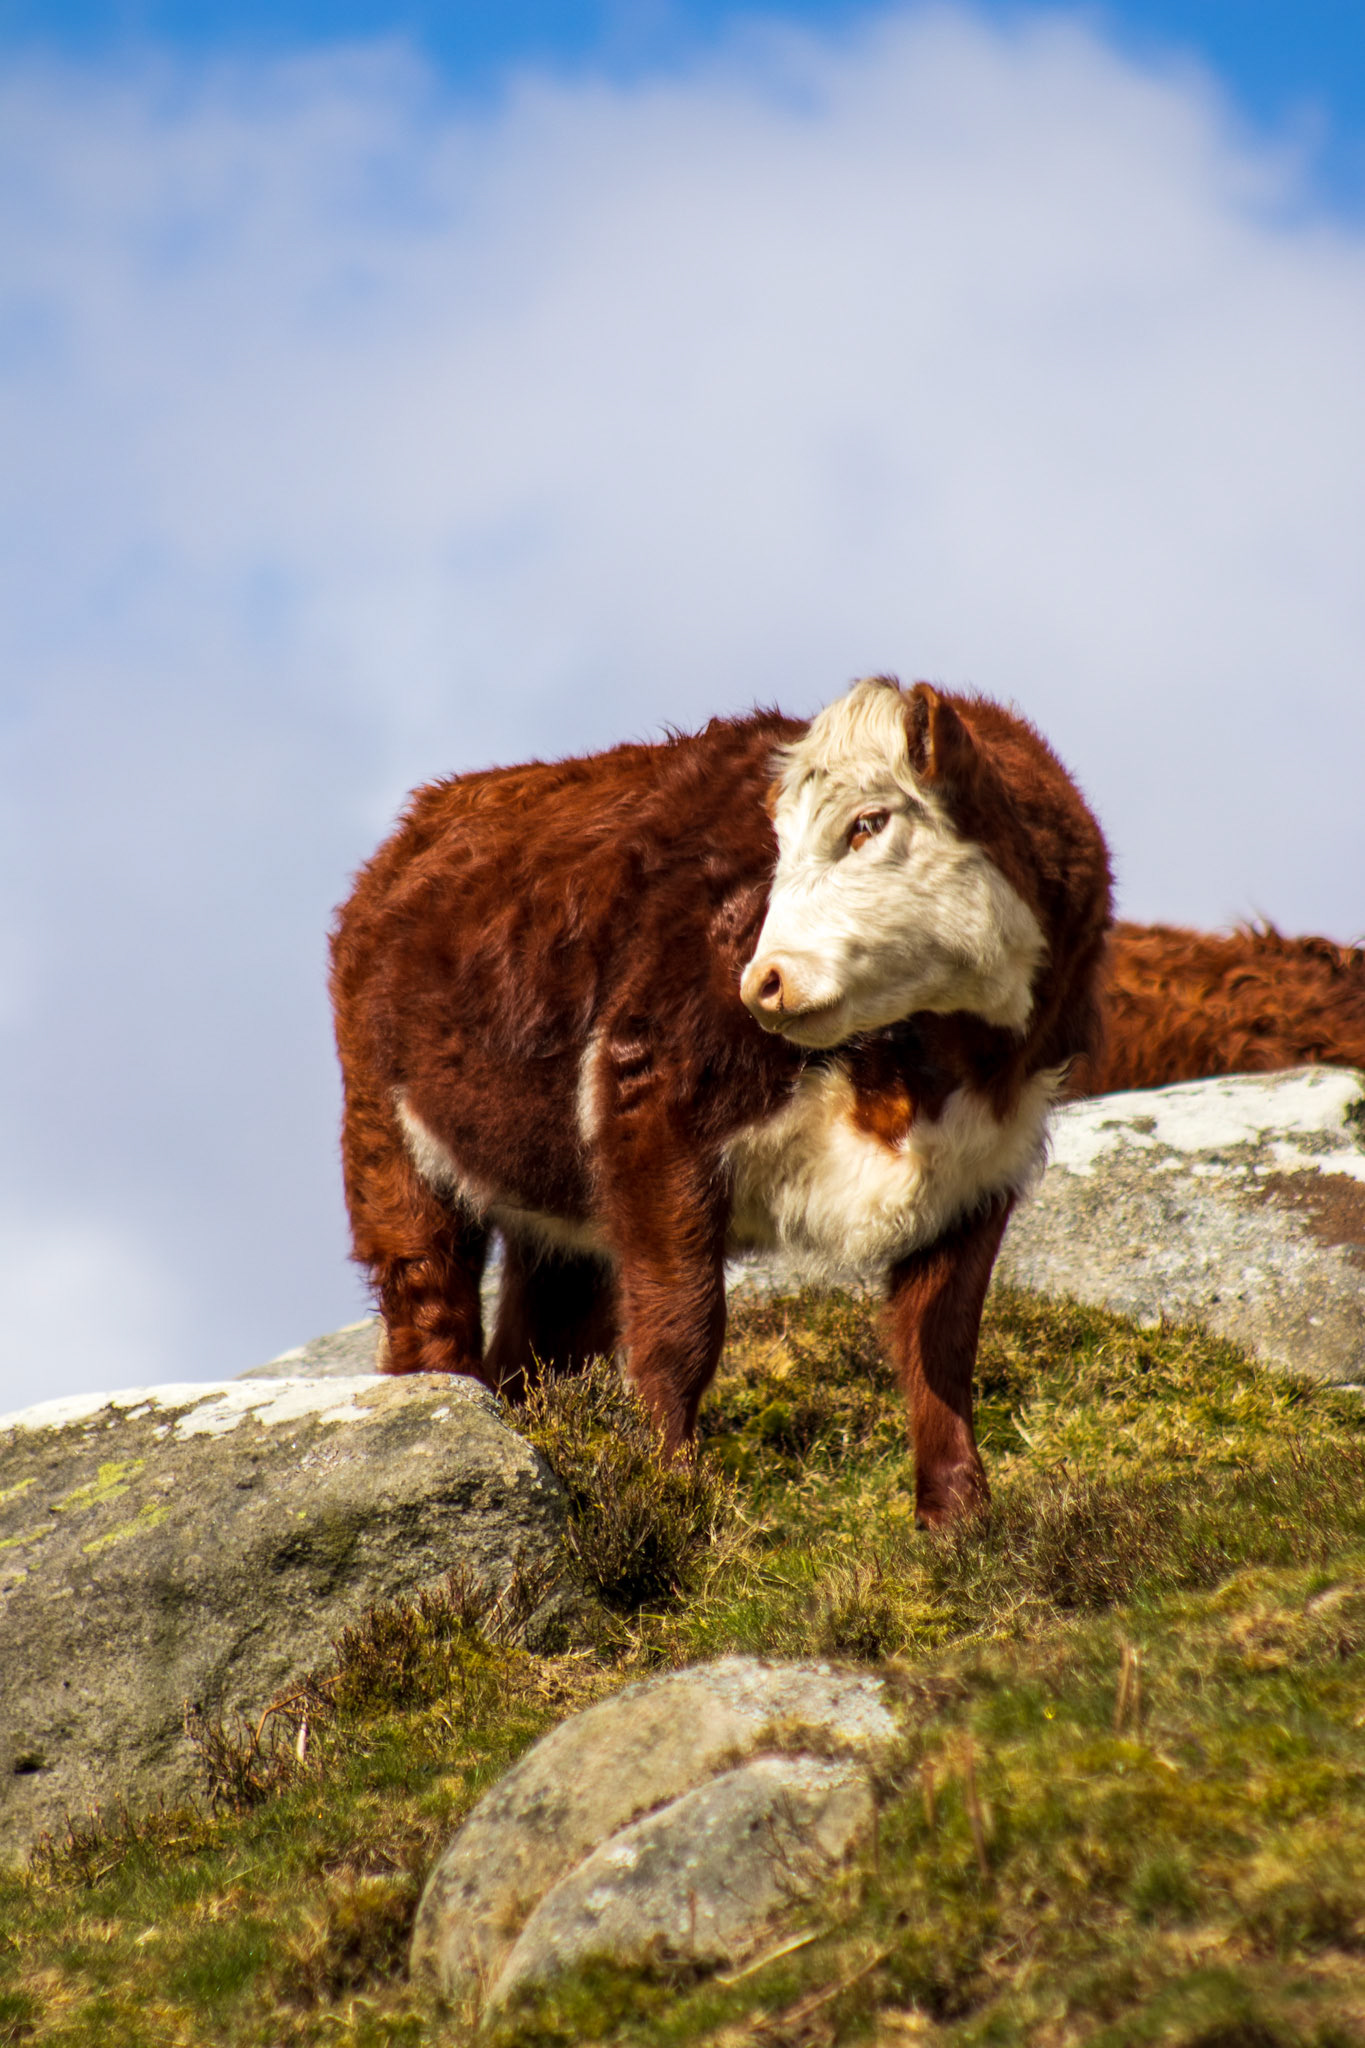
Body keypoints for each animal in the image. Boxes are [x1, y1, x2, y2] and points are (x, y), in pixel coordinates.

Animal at [330, 675, 1113, 1526]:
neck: (923, 1073)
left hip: (560, 1218)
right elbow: (681, 1329)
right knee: (430, 1316)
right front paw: (672, 1497)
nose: (762, 981)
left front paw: (958, 1516)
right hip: (390, 1152)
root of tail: (432, 813)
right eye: (777, 845)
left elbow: (939, 1339)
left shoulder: (983, 1164)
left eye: (868, 823)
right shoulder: (653, 1115)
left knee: (538, 1353)